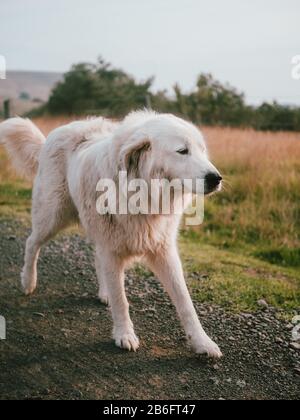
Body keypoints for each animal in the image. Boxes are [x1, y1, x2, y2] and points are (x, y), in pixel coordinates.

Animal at [0, 111, 223, 358]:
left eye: (202, 150)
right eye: (182, 151)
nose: (216, 178)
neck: (143, 193)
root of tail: (58, 132)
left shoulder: (163, 251)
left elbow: (185, 302)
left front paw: (203, 342)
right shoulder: (113, 249)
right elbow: (121, 300)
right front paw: (124, 334)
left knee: (98, 260)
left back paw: (102, 291)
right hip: (52, 217)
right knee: (32, 243)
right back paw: (28, 282)